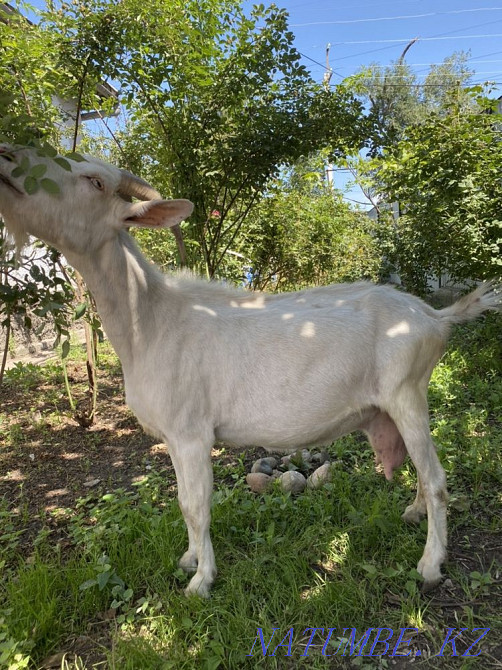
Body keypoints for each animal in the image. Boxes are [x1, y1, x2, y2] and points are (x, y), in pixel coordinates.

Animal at [0, 144, 500, 597]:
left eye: (95, 181)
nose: (8, 158)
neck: (152, 320)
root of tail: (434, 316)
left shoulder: (192, 432)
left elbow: (196, 505)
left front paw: (201, 581)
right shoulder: (174, 437)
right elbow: (181, 501)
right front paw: (188, 559)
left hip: (407, 392)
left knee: (436, 479)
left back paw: (430, 564)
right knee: (421, 469)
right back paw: (413, 513)